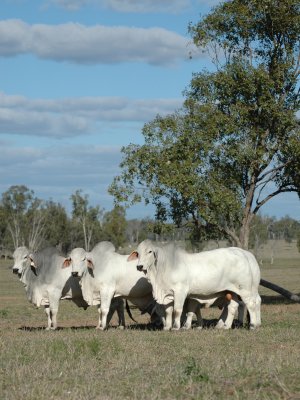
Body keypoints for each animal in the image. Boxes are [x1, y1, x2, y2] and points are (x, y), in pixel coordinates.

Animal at [127, 242, 260, 330]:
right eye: (138, 253)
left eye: (150, 251)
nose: (139, 266)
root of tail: (243, 254)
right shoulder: (168, 294)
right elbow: (168, 311)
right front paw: (167, 327)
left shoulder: (180, 291)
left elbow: (177, 310)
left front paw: (176, 327)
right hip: (232, 291)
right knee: (233, 306)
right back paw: (226, 326)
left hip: (245, 290)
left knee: (251, 304)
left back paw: (253, 325)